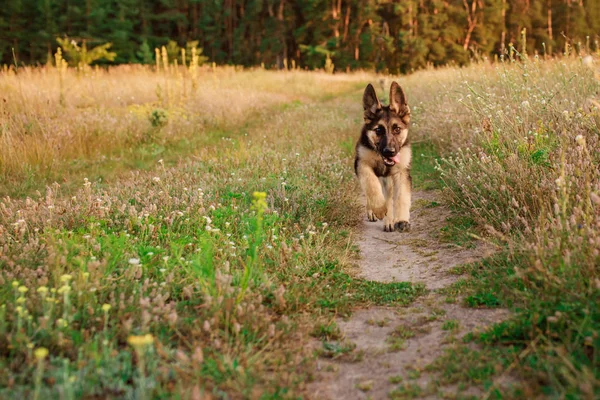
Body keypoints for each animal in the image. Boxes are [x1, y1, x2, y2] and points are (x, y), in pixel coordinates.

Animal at [354, 82, 410, 231]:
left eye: (397, 129)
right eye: (378, 130)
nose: (389, 151)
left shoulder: (401, 172)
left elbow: (401, 196)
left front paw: (401, 219)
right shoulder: (362, 164)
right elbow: (371, 185)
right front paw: (378, 208)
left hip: (388, 179)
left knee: (389, 198)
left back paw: (390, 220)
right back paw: (373, 211)